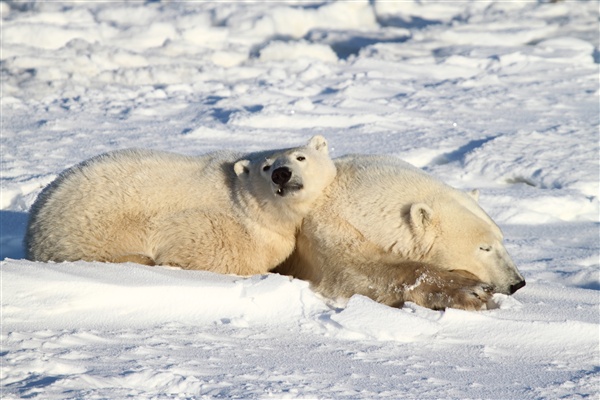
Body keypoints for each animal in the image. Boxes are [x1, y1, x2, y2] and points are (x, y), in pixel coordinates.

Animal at [276, 155, 524, 310]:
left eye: (502, 240)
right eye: (484, 247)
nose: (517, 283)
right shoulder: (329, 233)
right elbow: (359, 273)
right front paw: (471, 290)